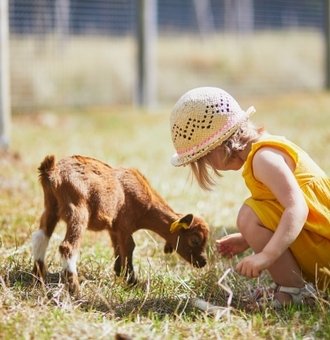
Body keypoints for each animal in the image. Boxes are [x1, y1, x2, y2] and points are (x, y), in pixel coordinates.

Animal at [31, 155, 209, 290]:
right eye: (194, 239)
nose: (203, 262)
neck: (146, 204)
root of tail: (54, 172)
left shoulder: (114, 227)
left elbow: (117, 247)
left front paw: (118, 273)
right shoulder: (125, 224)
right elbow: (129, 247)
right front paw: (132, 280)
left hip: (51, 207)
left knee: (40, 237)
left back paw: (38, 277)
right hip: (78, 210)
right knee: (67, 246)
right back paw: (75, 289)